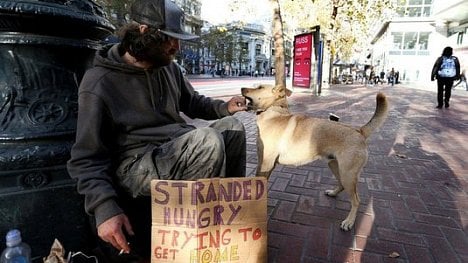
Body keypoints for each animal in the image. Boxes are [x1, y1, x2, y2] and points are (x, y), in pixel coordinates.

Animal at [241, 84, 388, 231]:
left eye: (259, 87)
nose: (242, 88)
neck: (273, 110)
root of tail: (359, 131)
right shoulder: (267, 164)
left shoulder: (266, 163)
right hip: (336, 167)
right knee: (341, 185)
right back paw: (333, 193)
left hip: (348, 174)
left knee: (356, 200)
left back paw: (349, 221)